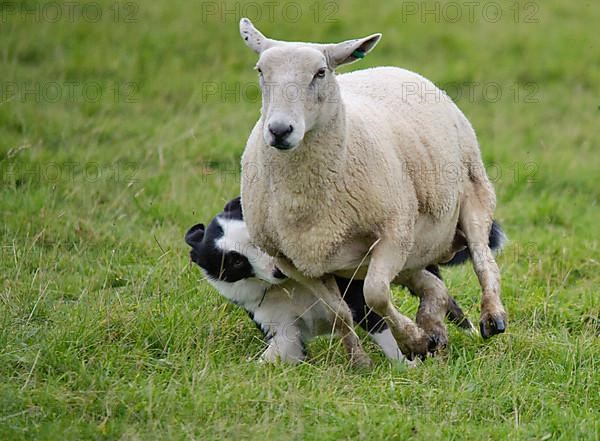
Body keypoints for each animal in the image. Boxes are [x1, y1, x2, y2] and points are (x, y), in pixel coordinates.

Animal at [185, 198, 504, 362]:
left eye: (258, 240)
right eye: (235, 262)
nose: (279, 270)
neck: (287, 287)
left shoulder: (358, 301)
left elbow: (387, 335)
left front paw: (409, 364)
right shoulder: (283, 330)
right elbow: (275, 353)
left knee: (442, 295)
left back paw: (467, 329)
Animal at [237, 18, 504, 364]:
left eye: (320, 73)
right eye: (260, 70)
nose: (280, 130)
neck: (303, 203)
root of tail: (395, 69)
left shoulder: (394, 232)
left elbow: (375, 294)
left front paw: (412, 340)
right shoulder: (292, 261)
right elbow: (338, 313)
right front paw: (359, 361)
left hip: (474, 191)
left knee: (483, 260)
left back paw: (491, 317)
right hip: (406, 254)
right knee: (433, 285)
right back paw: (434, 328)